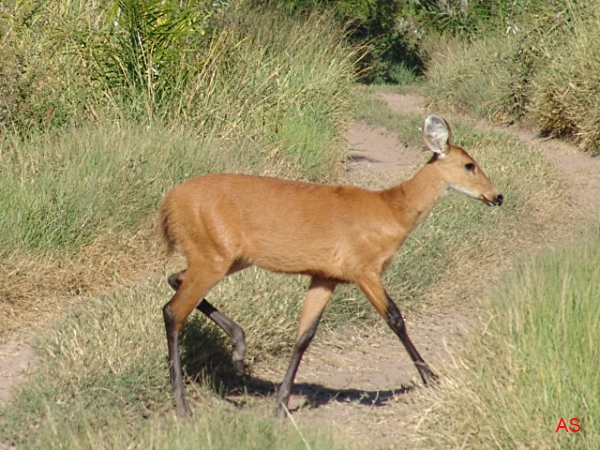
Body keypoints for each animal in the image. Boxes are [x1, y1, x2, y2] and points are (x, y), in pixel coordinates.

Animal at [158, 112, 502, 418]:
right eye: (469, 165)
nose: (497, 196)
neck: (391, 210)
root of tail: (168, 203)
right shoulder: (364, 268)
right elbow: (395, 318)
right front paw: (431, 378)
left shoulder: (325, 276)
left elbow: (304, 336)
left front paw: (280, 405)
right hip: (213, 254)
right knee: (174, 311)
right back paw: (183, 406)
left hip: (228, 257)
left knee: (174, 279)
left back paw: (239, 353)